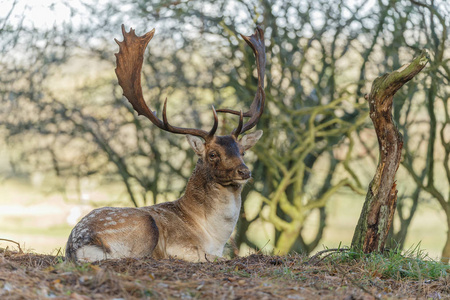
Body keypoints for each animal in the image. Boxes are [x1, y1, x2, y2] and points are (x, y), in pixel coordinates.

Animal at [65, 24, 266, 262]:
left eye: (242, 151)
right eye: (213, 154)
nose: (244, 171)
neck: (215, 238)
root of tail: (77, 245)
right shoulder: (182, 247)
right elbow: (217, 257)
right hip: (145, 225)